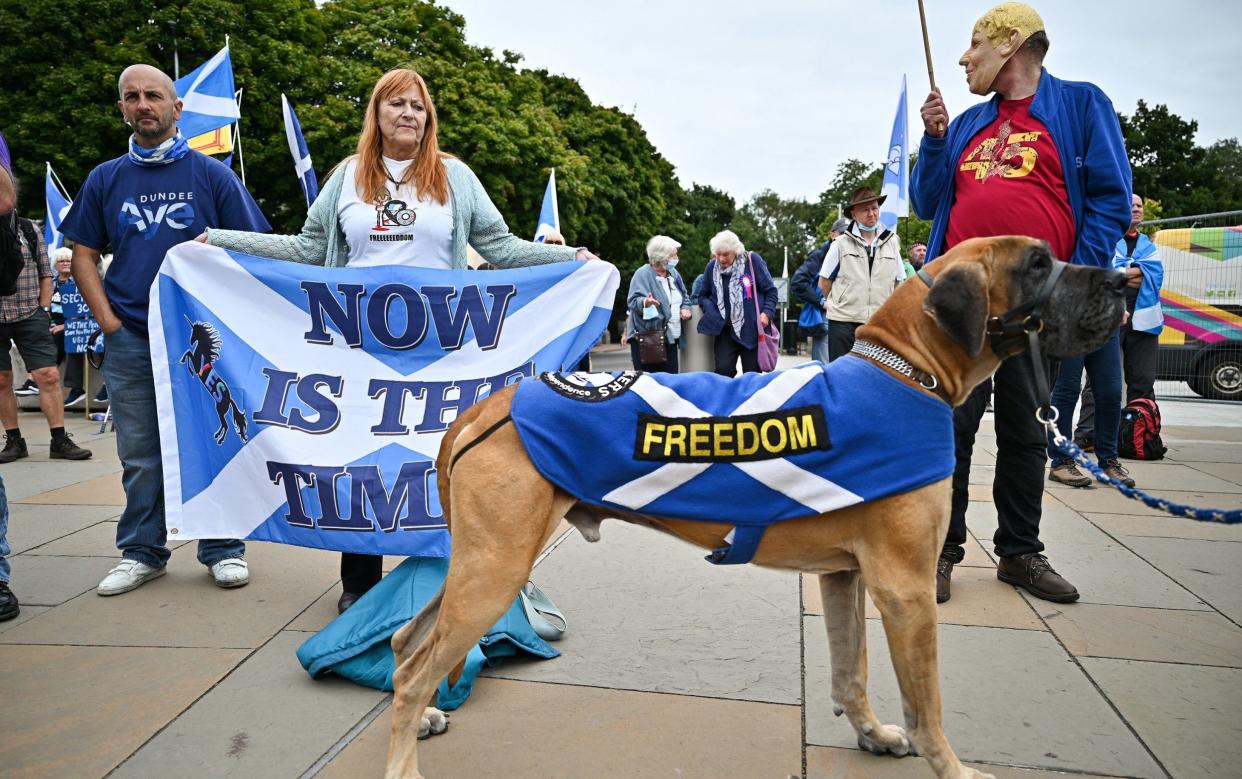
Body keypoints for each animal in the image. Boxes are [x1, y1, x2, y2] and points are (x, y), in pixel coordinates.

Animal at [385, 237, 1127, 779]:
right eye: (1038, 264)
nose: (1124, 283)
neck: (905, 369)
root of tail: (484, 408)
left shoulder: (846, 577)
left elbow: (851, 671)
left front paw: (870, 733)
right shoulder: (907, 589)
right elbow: (928, 705)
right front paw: (954, 769)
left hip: (478, 562)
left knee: (404, 645)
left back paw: (423, 718)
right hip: (496, 567)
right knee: (416, 670)